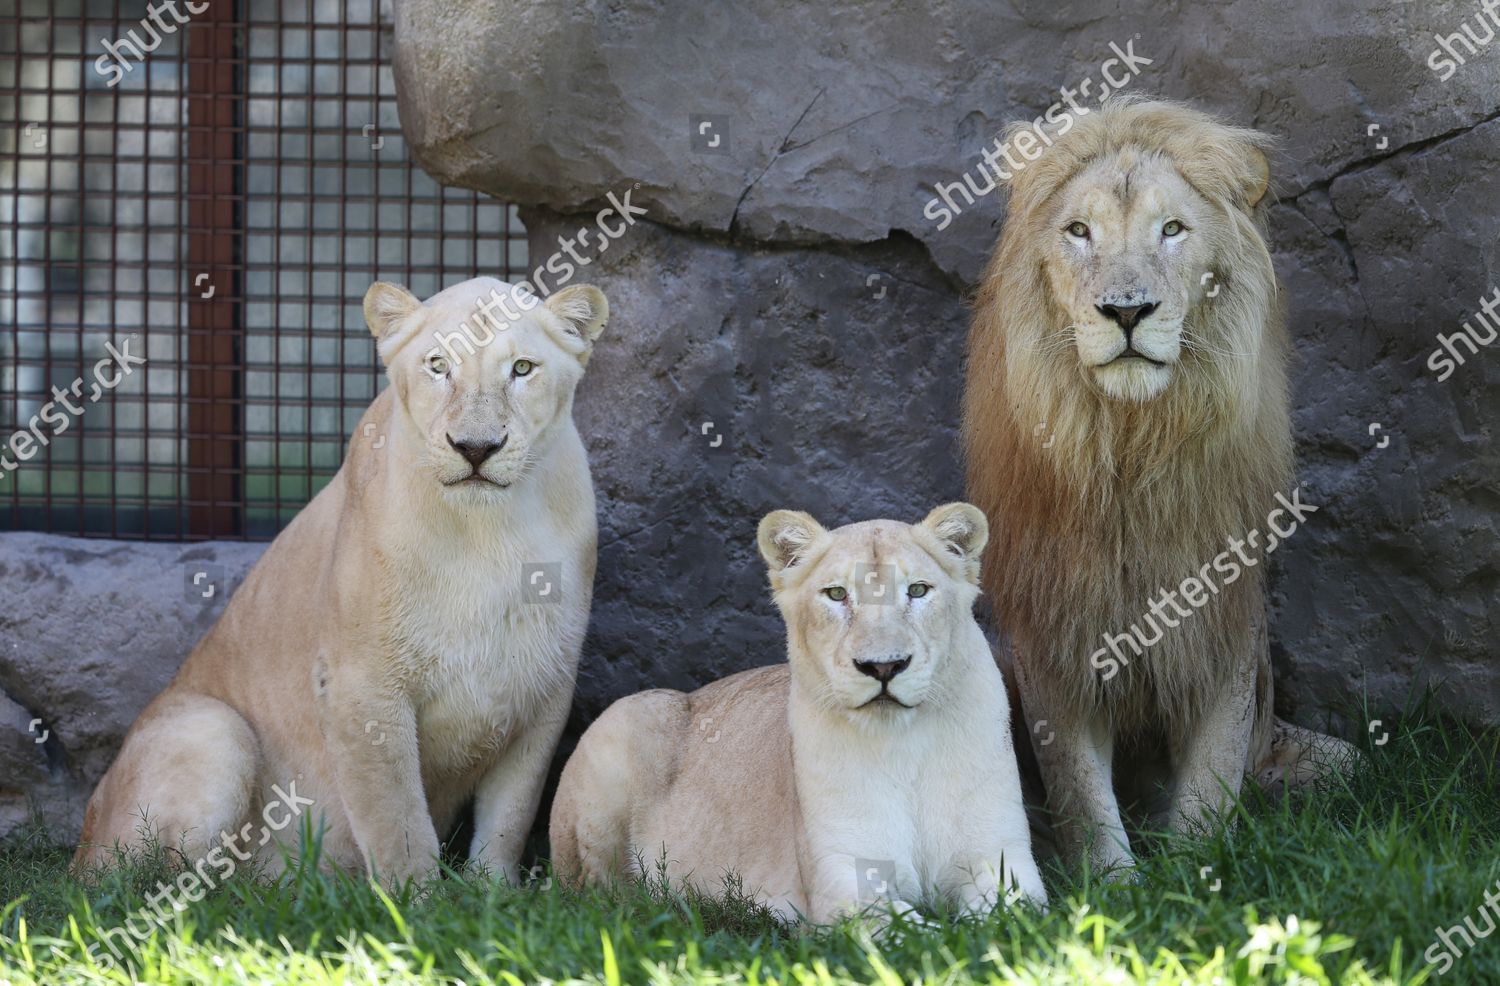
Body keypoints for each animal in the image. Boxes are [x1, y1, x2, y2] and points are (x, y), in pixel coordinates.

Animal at [76, 276, 609, 882]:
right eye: (438, 365)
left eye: (522, 368)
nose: (475, 449)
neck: (486, 532)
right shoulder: (361, 684)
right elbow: (396, 818)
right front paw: (417, 902)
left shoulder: (542, 688)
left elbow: (511, 817)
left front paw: (492, 891)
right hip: (215, 729)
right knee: (145, 881)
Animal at [552, 504, 1044, 918]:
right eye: (837, 594)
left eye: (919, 590)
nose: (883, 666)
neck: (903, 743)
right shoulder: (844, 878)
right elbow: (911, 932)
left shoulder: (1001, 859)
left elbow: (1004, 925)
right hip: (627, 718)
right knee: (598, 898)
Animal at [966, 98, 1356, 870]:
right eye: (1079, 231)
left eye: (1171, 229)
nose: (1125, 311)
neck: (1130, 443)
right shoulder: (1056, 634)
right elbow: (1082, 796)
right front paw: (1115, 884)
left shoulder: (1224, 626)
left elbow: (1210, 782)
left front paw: (1192, 875)